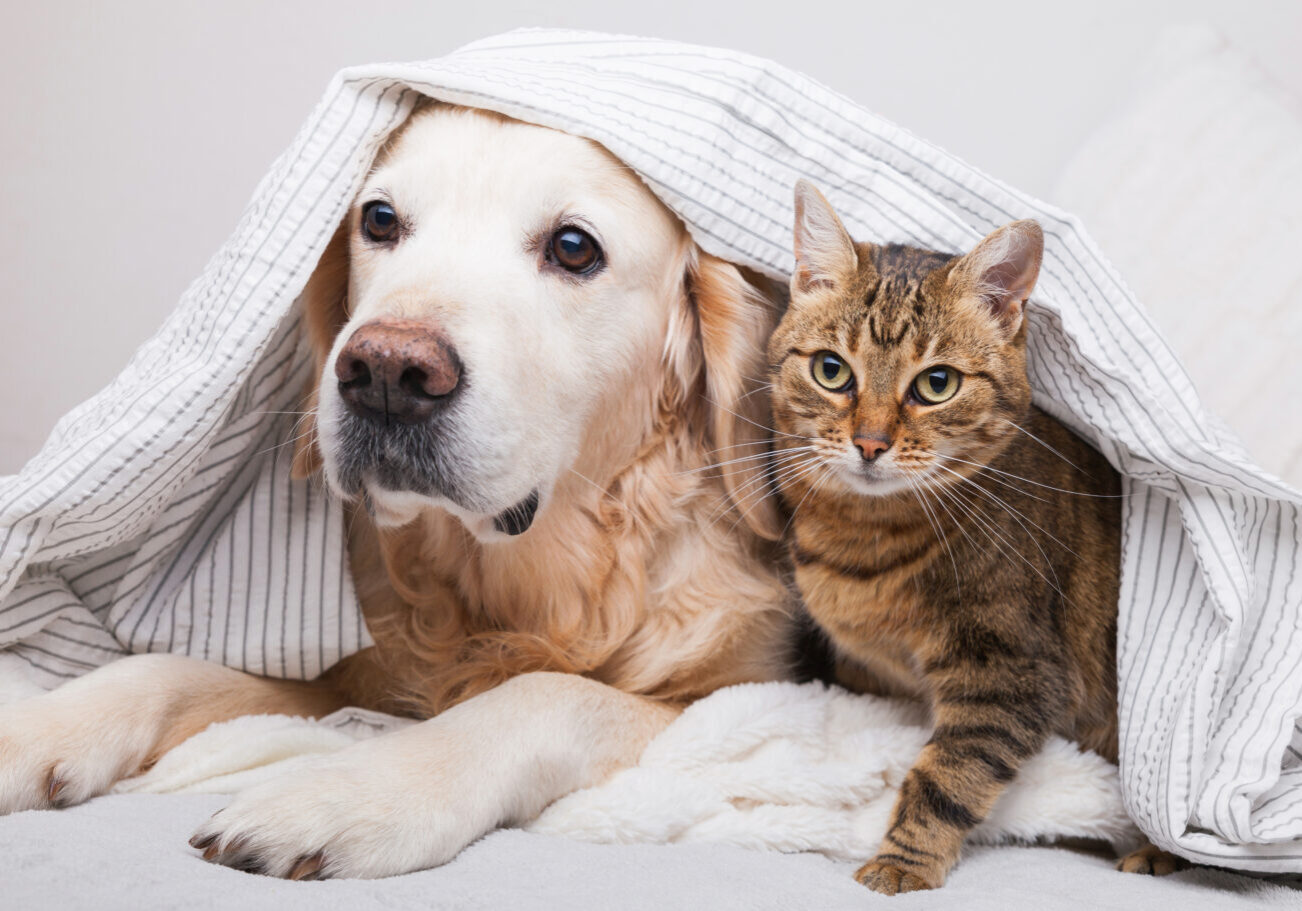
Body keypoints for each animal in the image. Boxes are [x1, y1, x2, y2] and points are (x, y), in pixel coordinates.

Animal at [0, 103, 791, 879]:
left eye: (573, 247)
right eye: (379, 219)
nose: (385, 372)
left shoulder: (746, 696)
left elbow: (546, 693)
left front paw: (353, 791)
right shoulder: (351, 674)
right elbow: (164, 669)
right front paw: (38, 728)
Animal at [765, 180, 1177, 895]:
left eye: (937, 383)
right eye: (831, 370)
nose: (869, 443)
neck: (864, 542)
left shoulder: (1010, 671)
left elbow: (946, 776)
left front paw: (902, 863)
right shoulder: (870, 676)